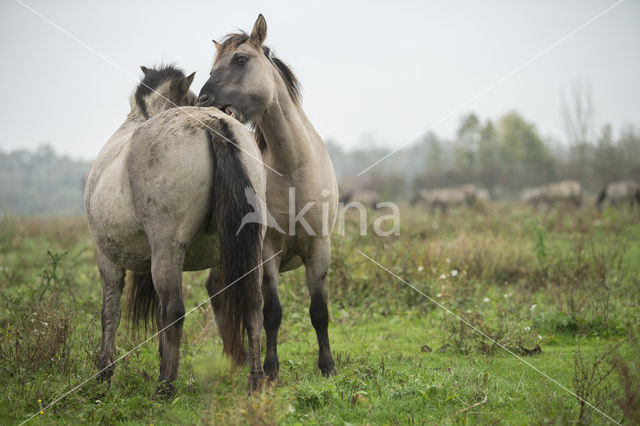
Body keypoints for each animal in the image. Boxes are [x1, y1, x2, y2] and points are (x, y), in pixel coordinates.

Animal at [84, 65, 268, 394]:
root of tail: (212, 122)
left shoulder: (108, 257)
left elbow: (110, 313)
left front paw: (104, 372)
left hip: (166, 251)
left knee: (173, 310)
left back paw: (165, 385)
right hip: (251, 250)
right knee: (253, 304)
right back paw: (256, 379)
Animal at [198, 15, 340, 382]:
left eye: (240, 60)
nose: (203, 100)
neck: (293, 172)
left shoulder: (319, 249)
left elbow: (319, 311)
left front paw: (327, 366)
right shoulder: (267, 252)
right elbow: (272, 312)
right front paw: (271, 369)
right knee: (220, 293)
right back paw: (236, 358)